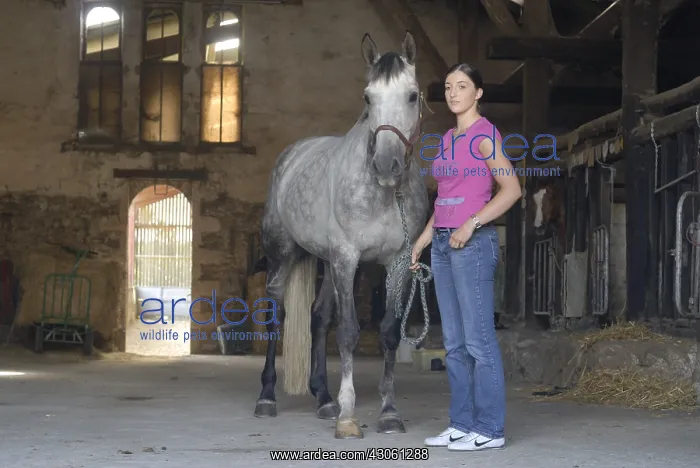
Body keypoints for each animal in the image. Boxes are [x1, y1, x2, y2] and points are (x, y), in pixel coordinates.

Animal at [252, 31, 429, 440]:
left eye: (412, 95)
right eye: (368, 98)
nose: (386, 165)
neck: (384, 194)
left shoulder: (396, 262)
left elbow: (389, 332)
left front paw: (389, 412)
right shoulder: (347, 257)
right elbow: (348, 331)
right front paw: (348, 417)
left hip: (327, 263)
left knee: (318, 318)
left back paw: (323, 398)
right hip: (283, 256)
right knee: (276, 315)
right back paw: (267, 397)